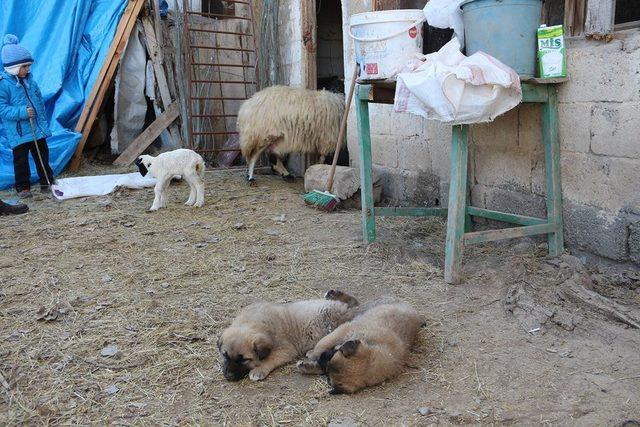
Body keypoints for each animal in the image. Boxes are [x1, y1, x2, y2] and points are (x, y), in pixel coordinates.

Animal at [219, 290, 360, 382]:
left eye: (244, 360)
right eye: (225, 355)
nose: (228, 376)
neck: (253, 322)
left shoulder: (286, 350)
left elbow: (270, 359)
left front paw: (259, 370)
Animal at [296, 300, 424, 394]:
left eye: (328, 378)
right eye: (335, 352)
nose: (323, 357)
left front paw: (308, 365)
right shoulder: (343, 331)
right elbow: (322, 344)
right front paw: (312, 356)